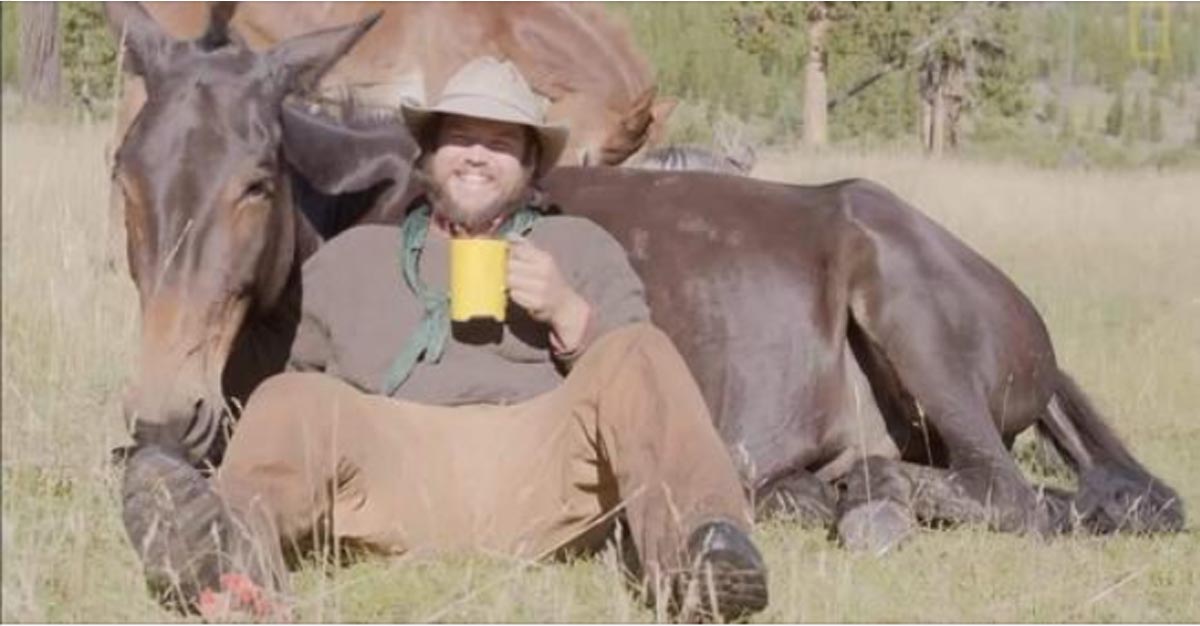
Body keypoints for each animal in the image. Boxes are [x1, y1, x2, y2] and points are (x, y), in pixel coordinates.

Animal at [105, 2, 1180, 546]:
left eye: (255, 182)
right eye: (123, 175)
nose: (167, 406)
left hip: (904, 301)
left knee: (1013, 495)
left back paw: (857, 492)